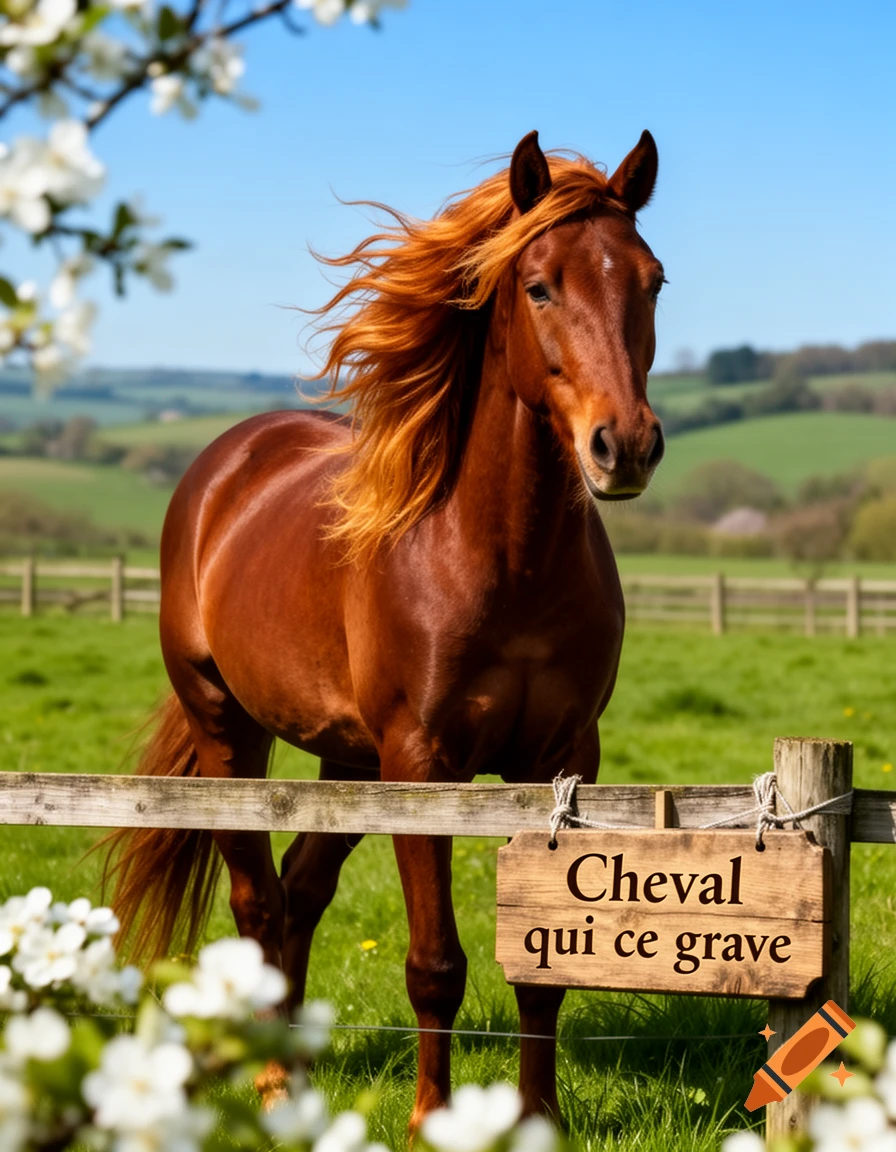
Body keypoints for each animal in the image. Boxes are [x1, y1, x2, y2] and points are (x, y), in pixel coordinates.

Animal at [105, 128, 666, 1129]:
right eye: (539, 286)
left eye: (653, 281)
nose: (625, 446)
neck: (502, 558)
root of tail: (225, 464)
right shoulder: (423, 763)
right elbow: (434, 963)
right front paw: (431, 1119)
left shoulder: (563, 760)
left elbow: (543, 968)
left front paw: (537, 1122)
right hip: (229, 731)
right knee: (257, 901)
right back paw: (271, 1078)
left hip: (351, 760)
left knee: (300, 891)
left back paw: (289, 1062)